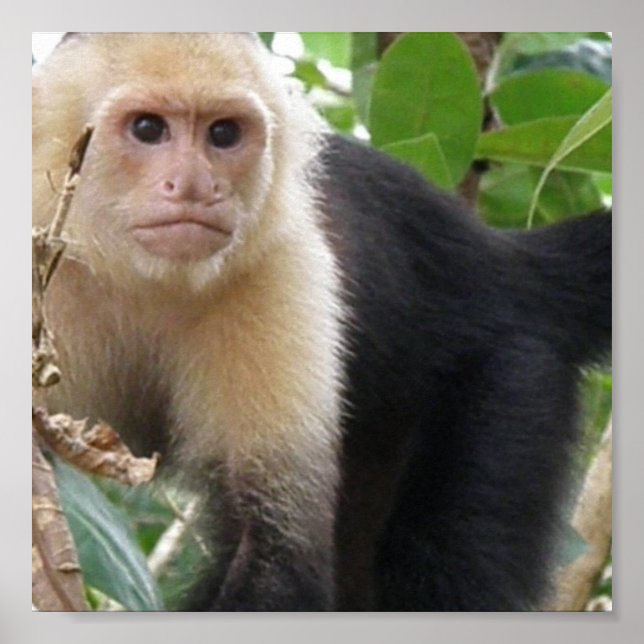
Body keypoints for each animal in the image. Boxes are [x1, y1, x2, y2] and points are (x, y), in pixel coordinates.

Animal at [32, 33, 611, 612]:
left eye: (223, 134)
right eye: (148, 129)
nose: (196, 186)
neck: (137, 274)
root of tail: (508, 263)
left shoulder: (282, 268)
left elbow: (276, 553)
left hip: (515, 370)